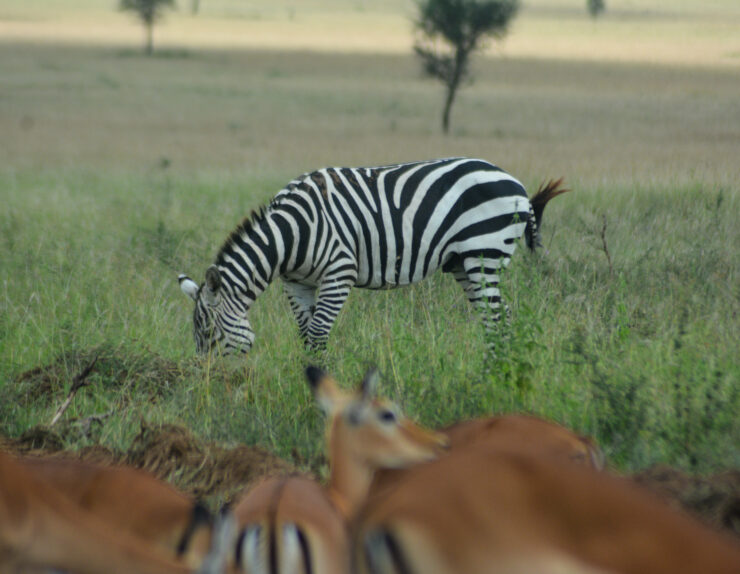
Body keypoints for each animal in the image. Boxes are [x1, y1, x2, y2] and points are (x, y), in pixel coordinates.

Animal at [178, 157, 568, 356]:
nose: (210, 386)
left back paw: (496, 377)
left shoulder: (339, 272)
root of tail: (514, 182)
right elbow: (306, 333)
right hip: (464, 263)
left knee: (498, 320)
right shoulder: (296, 283)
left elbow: (318, 333)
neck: (290, 234)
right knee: (495, 320)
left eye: (209, 333)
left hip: (483, 254)